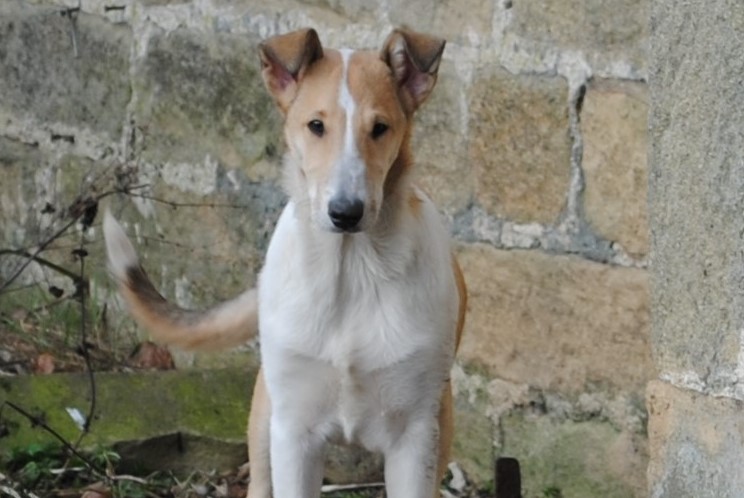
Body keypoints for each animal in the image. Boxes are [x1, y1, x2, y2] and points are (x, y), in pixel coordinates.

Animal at [103, 27, 464, 498]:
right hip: (265, 422)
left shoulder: (414, 436)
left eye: (380, 128)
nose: (345, 213)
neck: (350, 269)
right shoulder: (295, 431)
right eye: (316, 126)